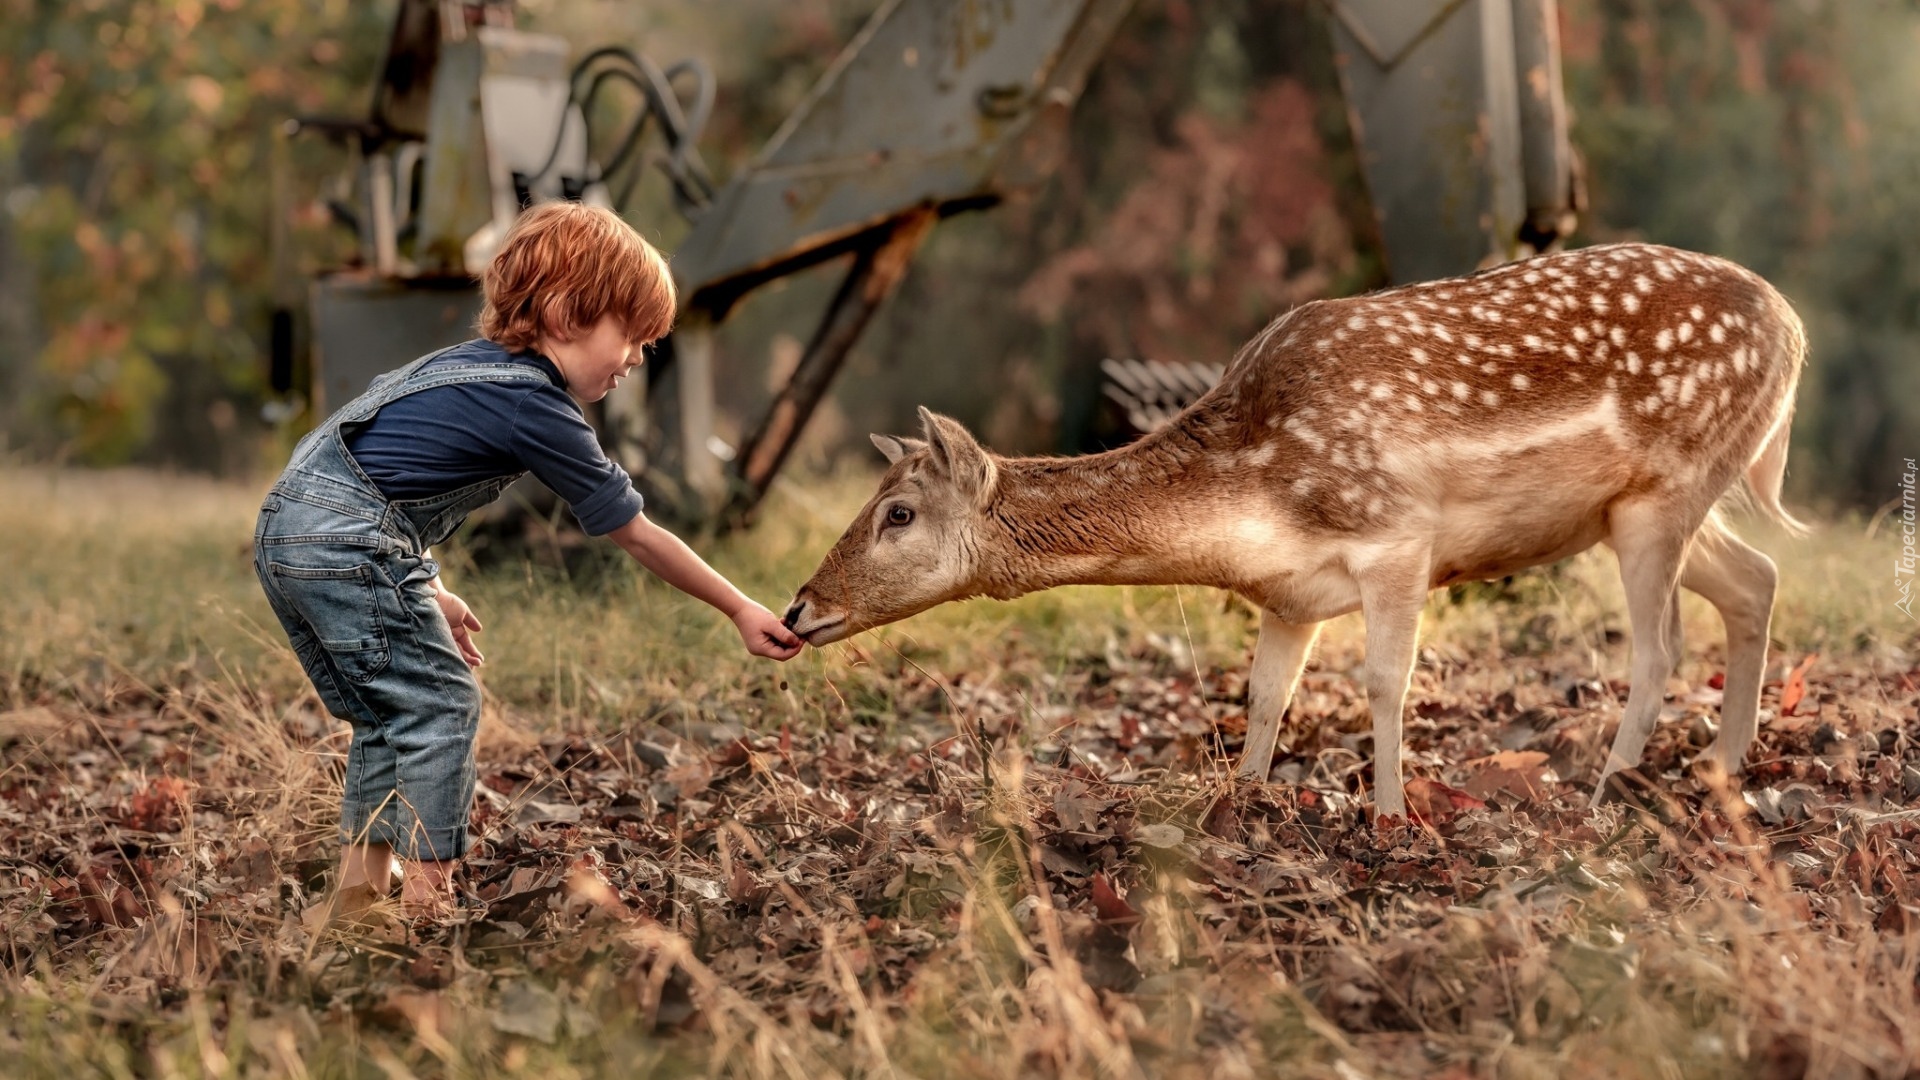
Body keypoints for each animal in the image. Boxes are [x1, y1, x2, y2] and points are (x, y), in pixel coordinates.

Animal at [779, 244, 1797, 814]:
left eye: (898, 513)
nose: (798, 609)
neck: (1253, 501)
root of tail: (1794, 330)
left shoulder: (1396, 536)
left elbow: (1386, 683)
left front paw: (1388, 816)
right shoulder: (1290, 596)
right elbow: (1266, 696)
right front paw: (1243, 801)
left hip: (1670, 488)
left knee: (1662, 643)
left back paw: (1605, 792)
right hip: (1640, 508)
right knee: (1757, 579)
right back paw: (1723, 767)